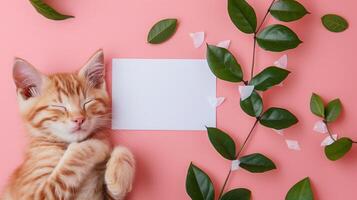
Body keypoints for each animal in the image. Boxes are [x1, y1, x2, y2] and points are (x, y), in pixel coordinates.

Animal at [0, 50, 134, 200]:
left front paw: (119, 179)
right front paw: (96, 145)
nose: (79, 119)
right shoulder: (31, 195)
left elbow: (123, 149)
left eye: (87, 103)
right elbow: (71, 164)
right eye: (59, 107)